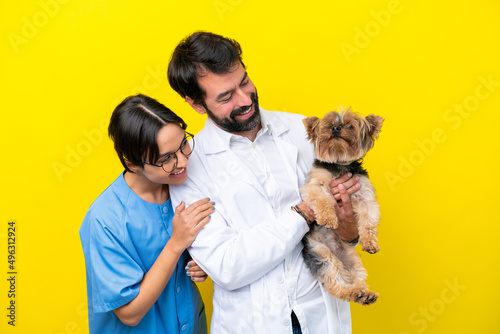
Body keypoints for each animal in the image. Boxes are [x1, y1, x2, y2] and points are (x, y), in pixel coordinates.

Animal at [300, 107, 382, 306]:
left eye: (350, 126)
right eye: (329, 125)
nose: (336, 128)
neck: (339, 165)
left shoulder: (364, 192)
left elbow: (368, 219)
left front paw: (370, 242)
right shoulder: (316, 184)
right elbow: (322, 200)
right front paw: (329, 219)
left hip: (351, 257)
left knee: (355, 276)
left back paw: (364, 294)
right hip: (319, 251)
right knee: (335, 280)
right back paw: (353, 291)